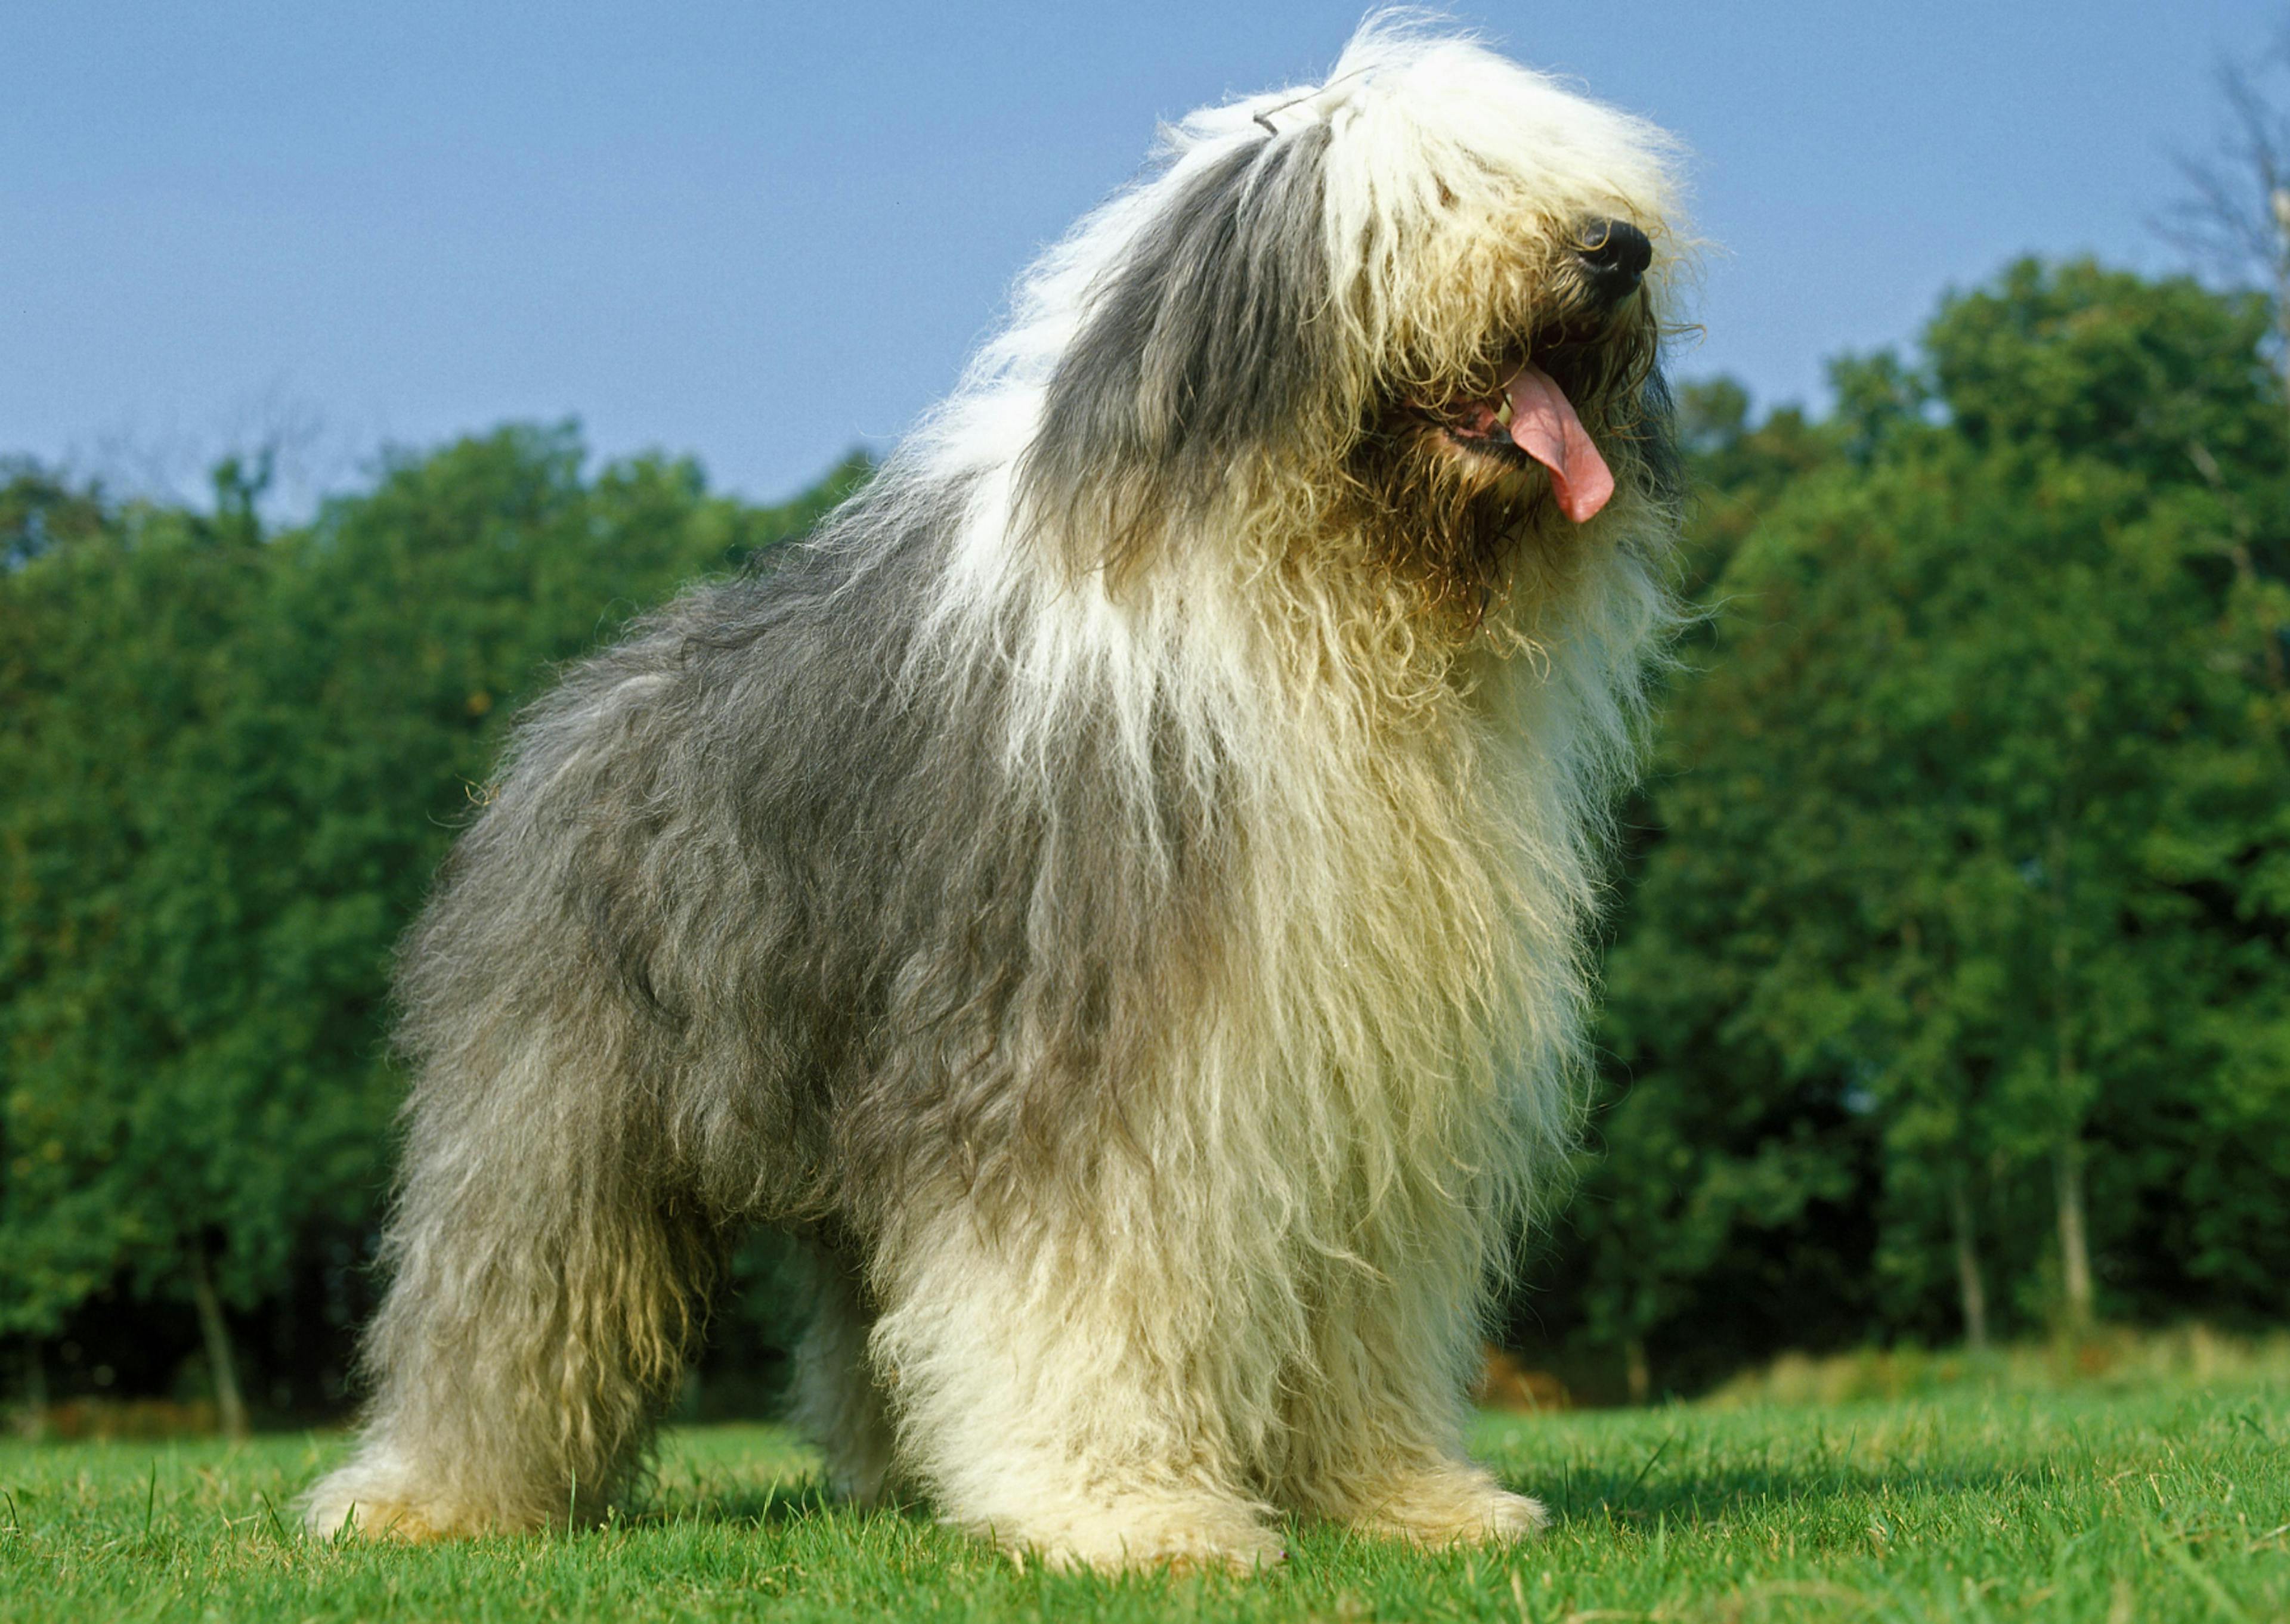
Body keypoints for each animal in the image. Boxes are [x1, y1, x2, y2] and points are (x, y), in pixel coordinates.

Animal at [309, 22, 1685, 1566]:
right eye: (1438, 194)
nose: (1617, 248)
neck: (1320, 605)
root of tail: (569, 709)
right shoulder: (1082, 1056)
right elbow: (1086, 1295)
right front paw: (1129, 1512)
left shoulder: (1365, 1081)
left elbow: (1359, 1309)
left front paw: (1406, 1496)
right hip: (559, 1099)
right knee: (508, 1292)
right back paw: (427, 1494)